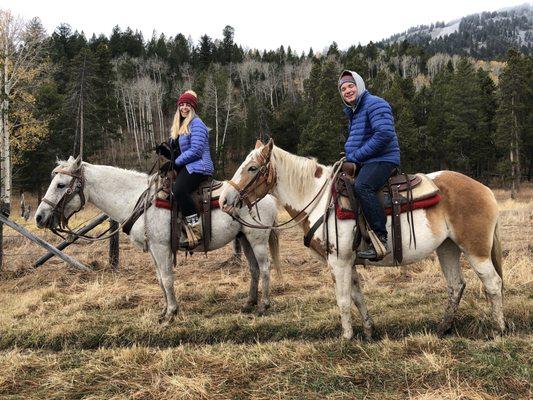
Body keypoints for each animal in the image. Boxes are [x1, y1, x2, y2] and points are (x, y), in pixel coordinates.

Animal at [35, 156, 280, 322]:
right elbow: (161, 280)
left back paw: (264, 306)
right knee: (254, 269)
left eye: (61, 185)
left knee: (264, 268)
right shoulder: (153, 249)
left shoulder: (162, 248)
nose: (39, 217)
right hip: (245, 238)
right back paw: (249, 303)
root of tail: (265, 196)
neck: (139, 200)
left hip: (257, 240)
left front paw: (171, 313)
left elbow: (168, 278)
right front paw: (165, 310)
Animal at [220, 141, 508, 340]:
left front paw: (346, 337)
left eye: (252, 168)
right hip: (447, 248)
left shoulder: (339, 261)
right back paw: (443, 328)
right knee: (456, 285)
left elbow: (343, 299)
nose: (223, 200)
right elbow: (357, 296)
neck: (321, 200)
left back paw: (499, 329)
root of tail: (485, 189)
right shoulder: (349, 261)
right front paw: (368, 331)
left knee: (493, 283)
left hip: (475, 250)